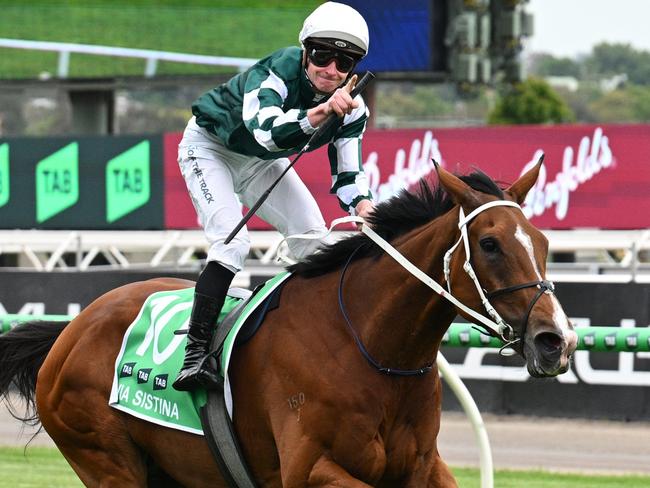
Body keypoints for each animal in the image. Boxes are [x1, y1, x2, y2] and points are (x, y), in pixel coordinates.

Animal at [2, 162, 576, 486]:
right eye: (490, 244)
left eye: (543, 242)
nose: (556, 340)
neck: (369, 348)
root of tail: (70, 330)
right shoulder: (309, 469)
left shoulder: (421, 467)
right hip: (107, 461)